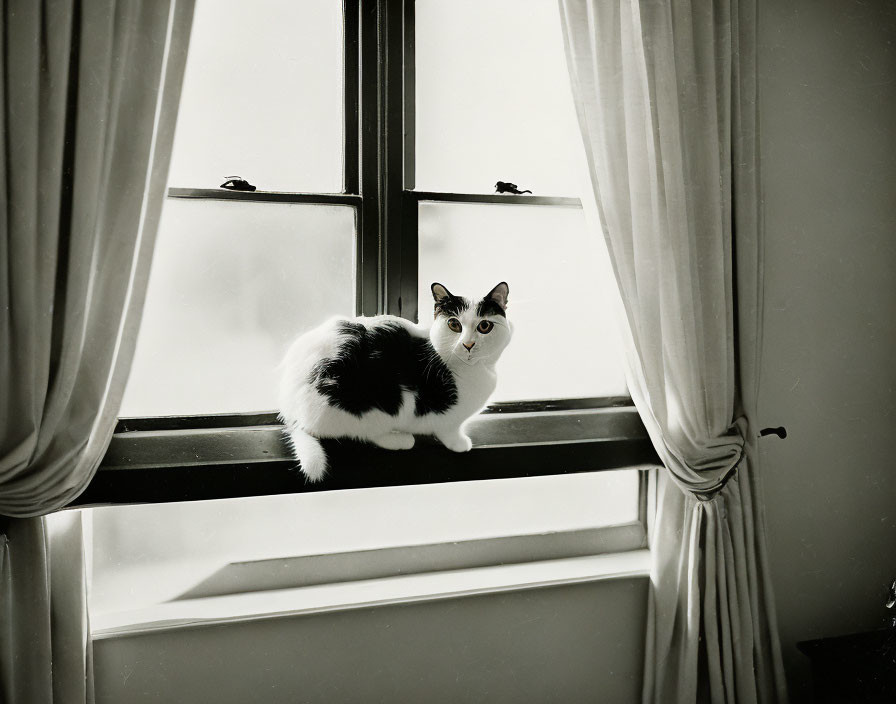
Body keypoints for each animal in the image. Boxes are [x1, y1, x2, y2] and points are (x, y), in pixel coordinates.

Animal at [276, 284, 512, 482]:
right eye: (454, 324)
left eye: (484, 326)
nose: (468, 344)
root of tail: (293, 413)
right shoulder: (444, 417)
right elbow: (448, 428)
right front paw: (459, 443)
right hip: (373, 407)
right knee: (365, 433)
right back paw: (400, 439)